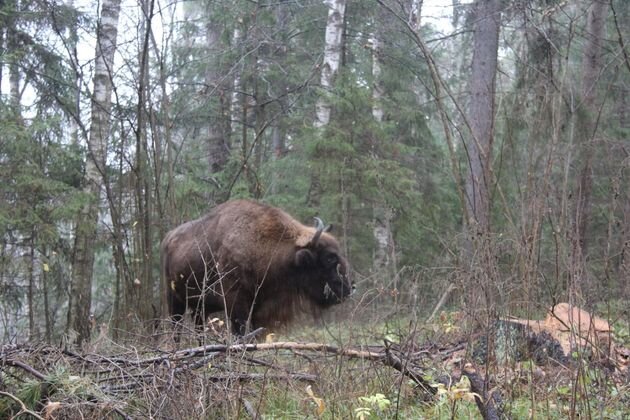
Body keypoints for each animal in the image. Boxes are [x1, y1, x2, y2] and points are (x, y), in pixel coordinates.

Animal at [163, 199, 356, 334]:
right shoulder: (236, 305)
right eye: (329, 258)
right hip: (175, 302)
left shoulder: (258, 308)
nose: (350, 288)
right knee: (176, 327)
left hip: (199, 308)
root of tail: (168, 238)